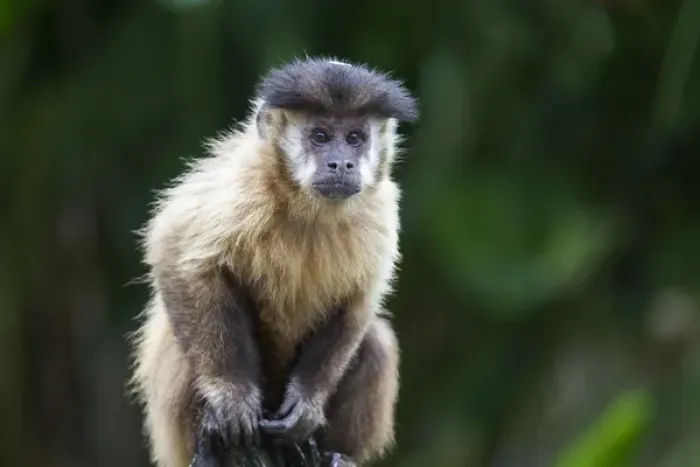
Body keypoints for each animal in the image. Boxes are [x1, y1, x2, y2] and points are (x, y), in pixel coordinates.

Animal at [128, 56, 418, 467]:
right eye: (320, 136)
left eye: (355, 138)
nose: (341, 163)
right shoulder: (244, 181)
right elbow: (174, 252)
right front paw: (231, 397)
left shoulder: (381, 208)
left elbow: (360, 301)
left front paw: (307, 403)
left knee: (375, 341)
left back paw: (339, 455)